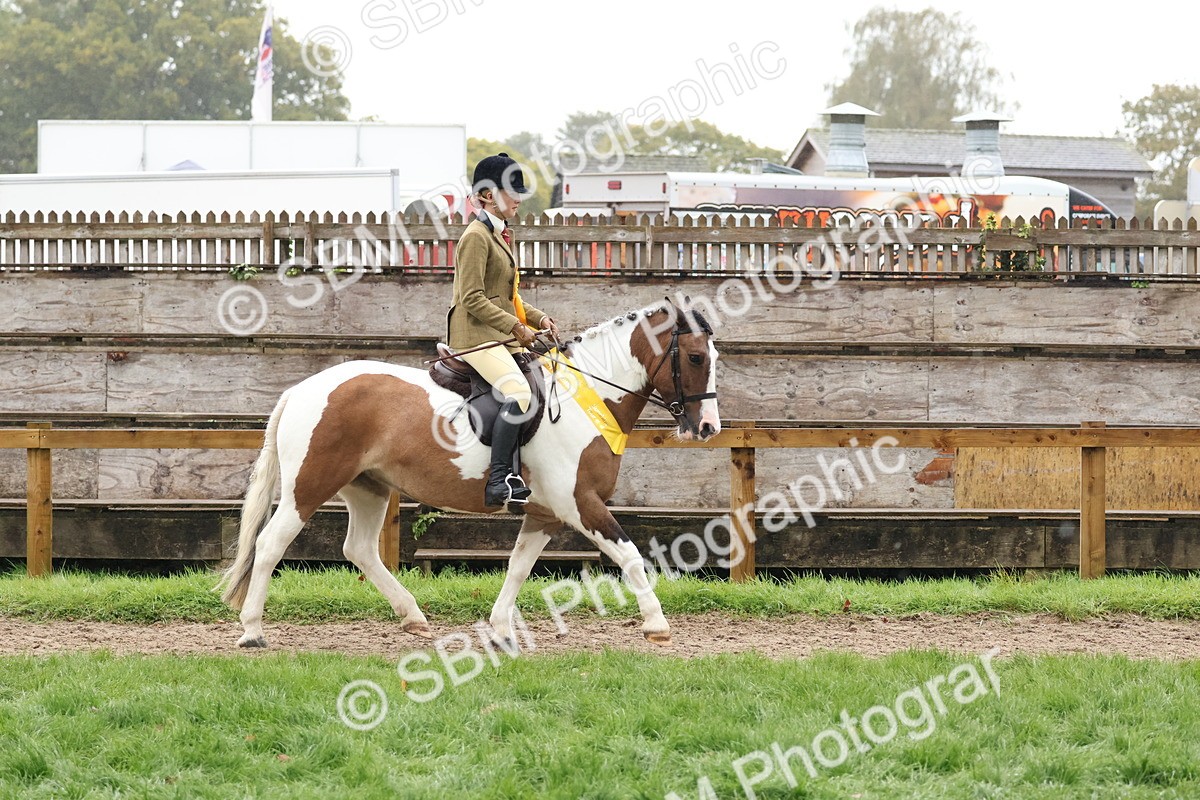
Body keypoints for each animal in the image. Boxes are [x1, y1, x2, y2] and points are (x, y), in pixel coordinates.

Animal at [215, 299, 721, 648]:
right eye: (696, 358)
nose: (708, 428)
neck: (585, 396)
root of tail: (302, 389)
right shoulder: (579, 503)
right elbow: (630, 555)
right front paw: (657, 624)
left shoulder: (544, 513)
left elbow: (518, 566)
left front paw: (499, 630)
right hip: (308, 486)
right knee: (271, 544)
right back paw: (253, 630)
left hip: (369, 488)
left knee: (358, 549)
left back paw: (413, 615)